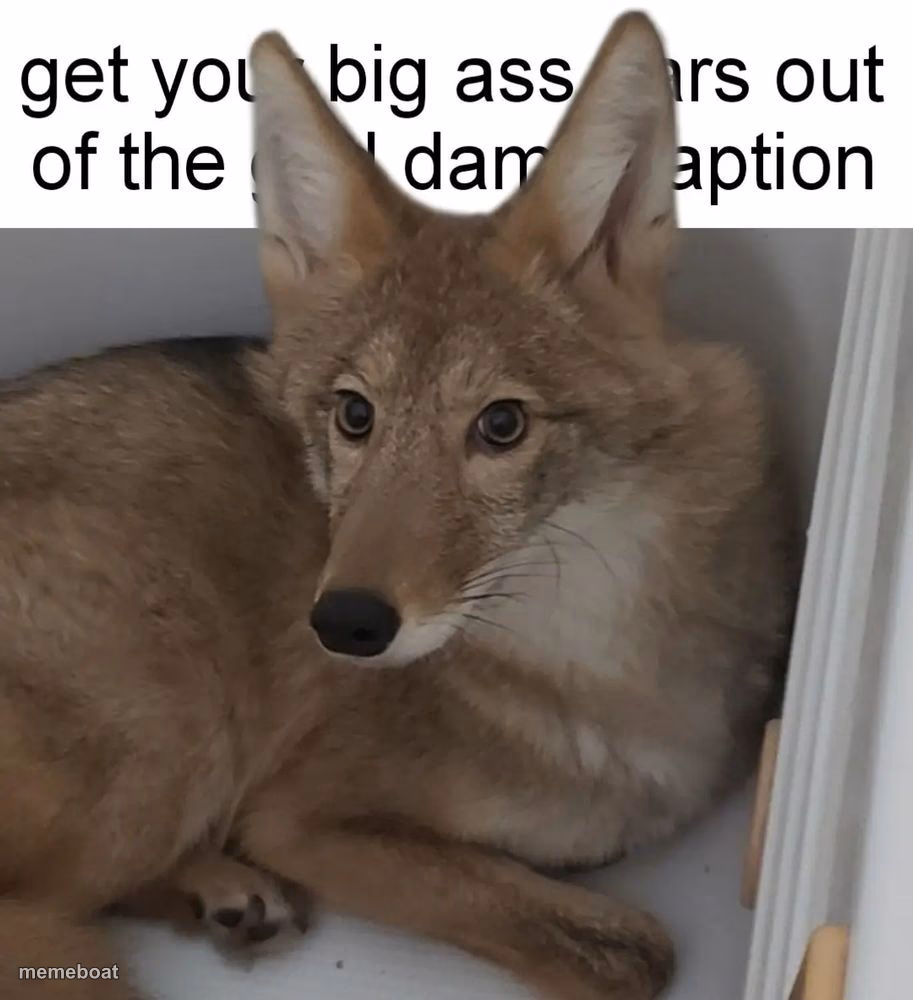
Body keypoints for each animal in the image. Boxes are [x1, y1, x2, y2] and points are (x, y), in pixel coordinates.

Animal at [0, 13, 793, 1000]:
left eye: (500, 424)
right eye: (354, 415)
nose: (343, 624)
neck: (601, 661)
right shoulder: (302, 820)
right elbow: (632, 951)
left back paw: (223, 898)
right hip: (171, 731)